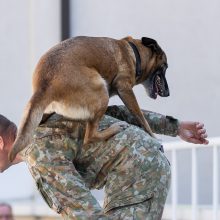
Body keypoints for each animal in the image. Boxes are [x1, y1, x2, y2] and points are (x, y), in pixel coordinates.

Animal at [8, 35, 170, 162]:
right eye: (165, 67)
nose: (168, 93)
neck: (134, 53)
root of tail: (45, 84)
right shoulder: (124, 88)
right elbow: (140, 116)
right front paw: (153, 136)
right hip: (101, 91)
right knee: (90, 137)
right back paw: (115, 128)